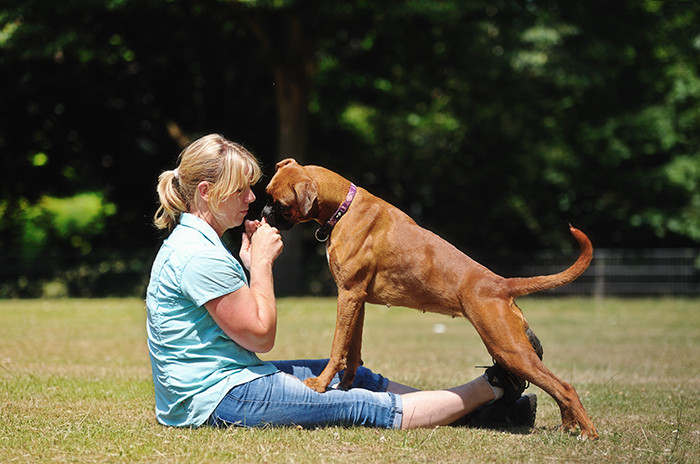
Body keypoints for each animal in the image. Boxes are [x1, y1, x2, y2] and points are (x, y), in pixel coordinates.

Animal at [260, 159, 600, 438]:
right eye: (266, 195)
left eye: (281, 204)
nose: (263, 213)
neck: (345, 206)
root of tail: (500, 283)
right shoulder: (356, 300)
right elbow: (352, 350)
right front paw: (345, 387)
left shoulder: (348, 296)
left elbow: (336, 348)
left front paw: (321, 385)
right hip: (510, 347)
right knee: (556, 385)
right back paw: (568, 425)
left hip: (507, 348)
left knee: (564, 386)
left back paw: (587, 432)